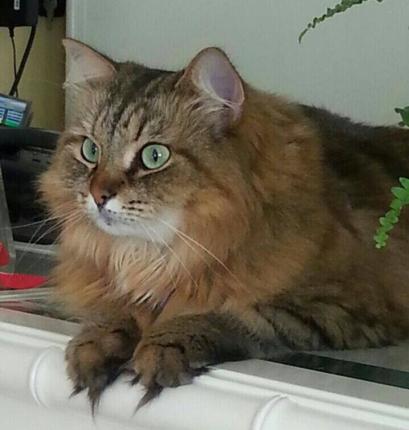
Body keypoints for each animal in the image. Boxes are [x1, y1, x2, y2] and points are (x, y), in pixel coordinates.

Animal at [39, 38, 408, 408]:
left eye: (154, 156)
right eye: (90, 151)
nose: (98, 195)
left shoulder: (340, 308)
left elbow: (223, 315)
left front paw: (161, 347)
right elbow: (115, 312)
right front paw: (94, 344)